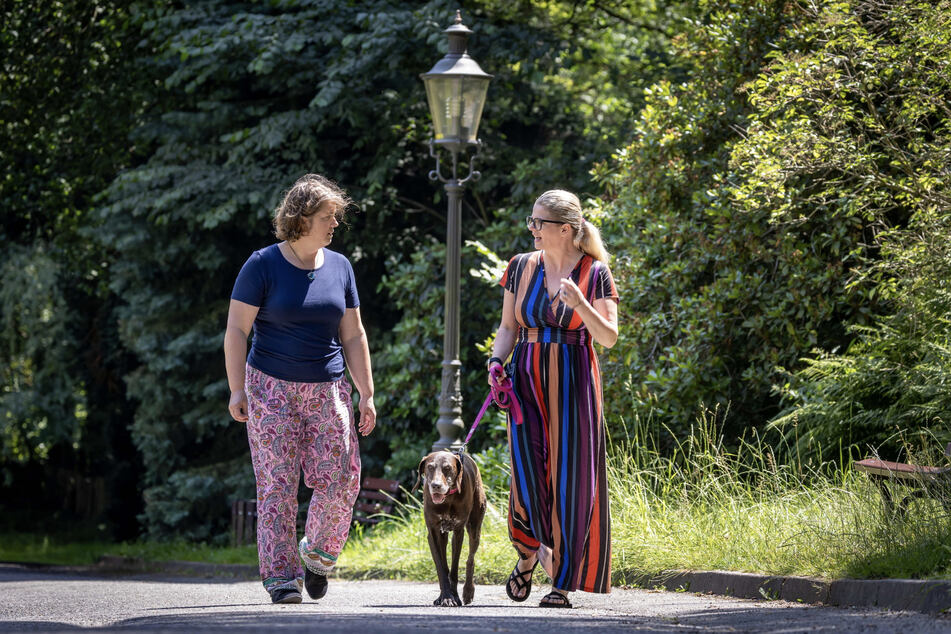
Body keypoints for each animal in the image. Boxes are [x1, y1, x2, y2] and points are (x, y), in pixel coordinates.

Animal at [416, 446, 488, 604]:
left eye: (447, 468)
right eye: (430, 467)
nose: (436, 486)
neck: (448, 499)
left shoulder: (458, 530)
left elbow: (455, 567)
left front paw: (454, 595)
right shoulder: (434, 532)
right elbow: (441, 567)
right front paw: (446, 596)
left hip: (475, 527)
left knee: (470, 559)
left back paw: (468, 591)